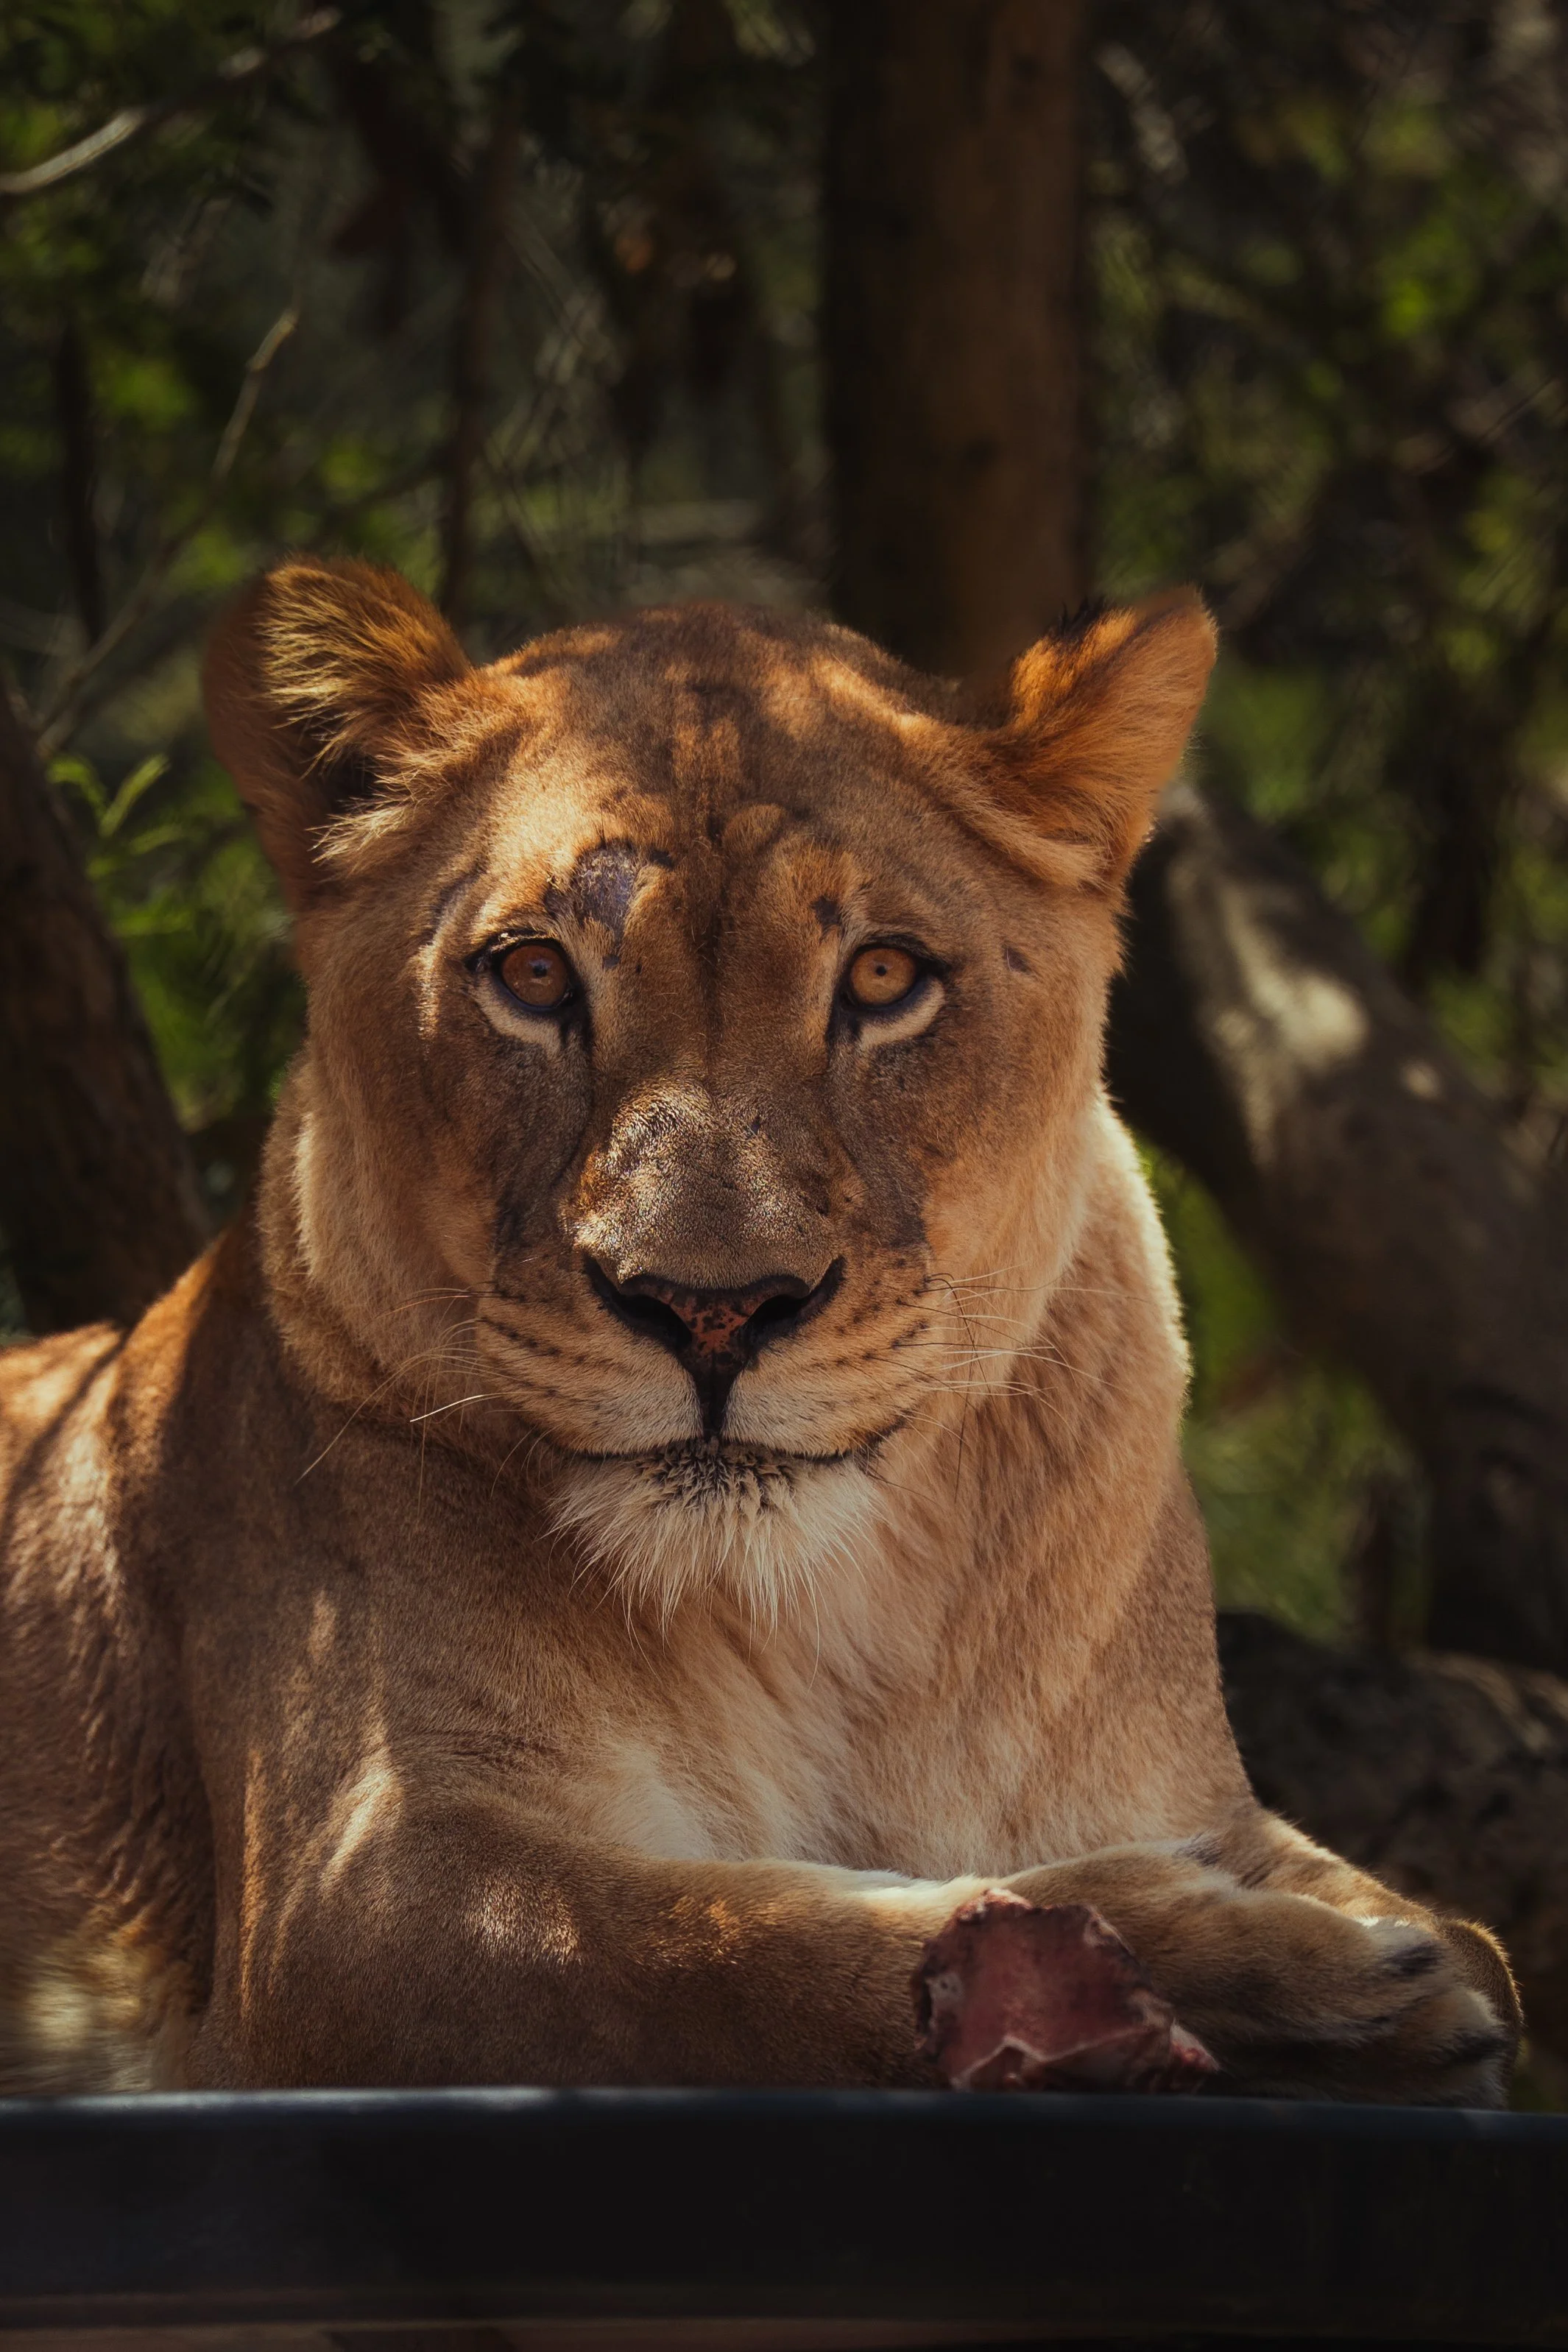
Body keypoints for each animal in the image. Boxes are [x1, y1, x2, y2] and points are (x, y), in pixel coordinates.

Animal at [0, 559, 1517, 2101]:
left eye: (886, 978)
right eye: (535, 977)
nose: (713, 1309)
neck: (827, 1626)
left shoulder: (1199, 1791)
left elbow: (1467, 1933)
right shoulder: (360, 1900)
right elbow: (737, 1948)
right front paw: (1291, 1977)